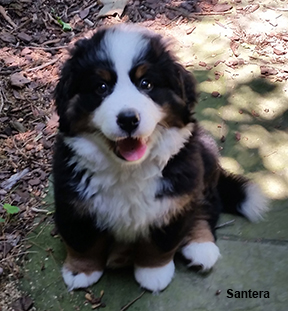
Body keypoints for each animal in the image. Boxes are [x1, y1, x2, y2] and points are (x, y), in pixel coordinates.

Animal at [52, 23, 268, 292]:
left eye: (146, 84)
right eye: (101, 87)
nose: (128, 119)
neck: (128, 170)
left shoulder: (174, 200)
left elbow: (159, 245)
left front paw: (153, 273)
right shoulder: (72, 201)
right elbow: (81, 241)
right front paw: (81, 271)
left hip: (203, 162)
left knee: (206, 207)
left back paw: (200, 246)